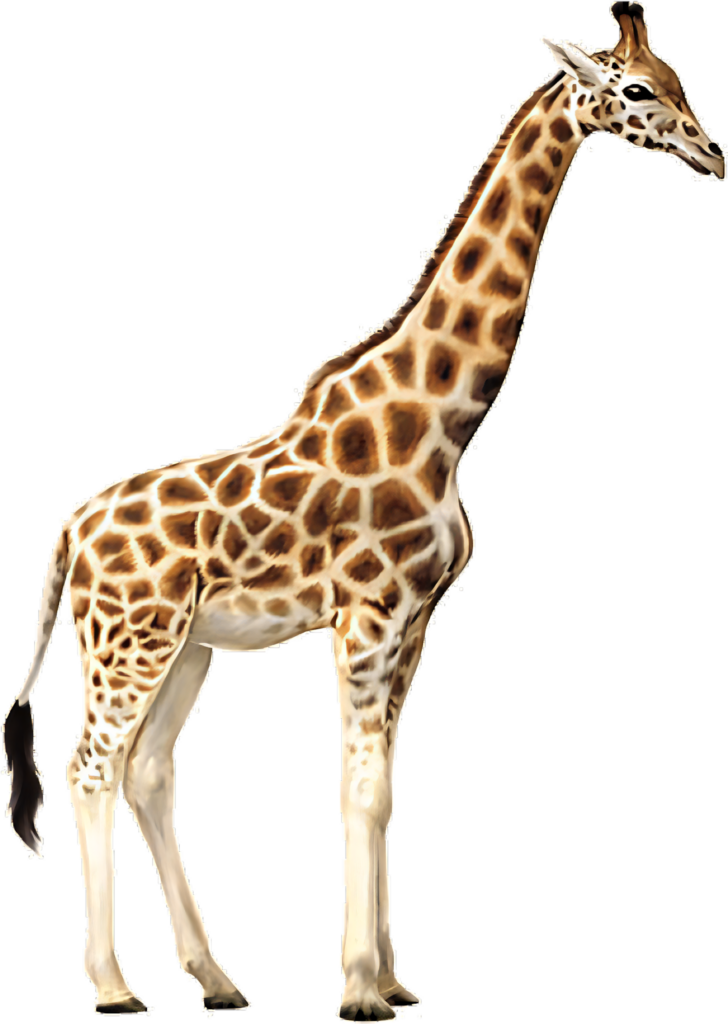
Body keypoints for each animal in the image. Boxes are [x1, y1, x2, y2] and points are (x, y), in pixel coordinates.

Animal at [3, 4, 724, 1020]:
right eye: (634, 89)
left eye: (676, 79)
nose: (712, 153)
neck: (442, 423)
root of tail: (70, 533)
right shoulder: (368, 614)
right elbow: (356, 789)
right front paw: (359, 991)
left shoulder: (419, 620)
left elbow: (384, 792)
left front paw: (390, 977)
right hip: (125, 639)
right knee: (89, 768)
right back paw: (114, 988)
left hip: (187, 645)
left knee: (146, 772)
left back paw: (217, 980)